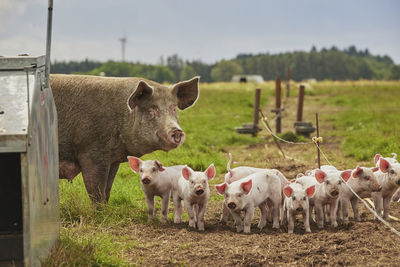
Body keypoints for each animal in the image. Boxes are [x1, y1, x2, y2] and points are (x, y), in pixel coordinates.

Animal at [50, 74, 199, 202]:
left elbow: (107, 190)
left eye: (173, 108)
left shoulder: (113, 160)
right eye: (152, 110)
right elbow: (96, 191)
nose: (176, 131)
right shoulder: (91, 154)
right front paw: (100, 213)